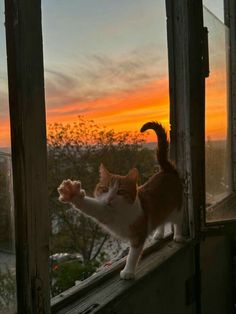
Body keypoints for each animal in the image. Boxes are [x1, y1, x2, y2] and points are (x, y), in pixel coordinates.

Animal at [57, 122, 183, 280]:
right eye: (105, 189)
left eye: (120, 192)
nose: (110, 198)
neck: (121, 213)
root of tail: (167, 170)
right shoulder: (106, 214)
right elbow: (94, 208)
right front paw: (72, 194)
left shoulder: (138, 235)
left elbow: (133, 255)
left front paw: (128, 272)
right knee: (160, 220)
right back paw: (159, 234)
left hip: (177, 208)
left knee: (178, 221)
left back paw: (178, 236)